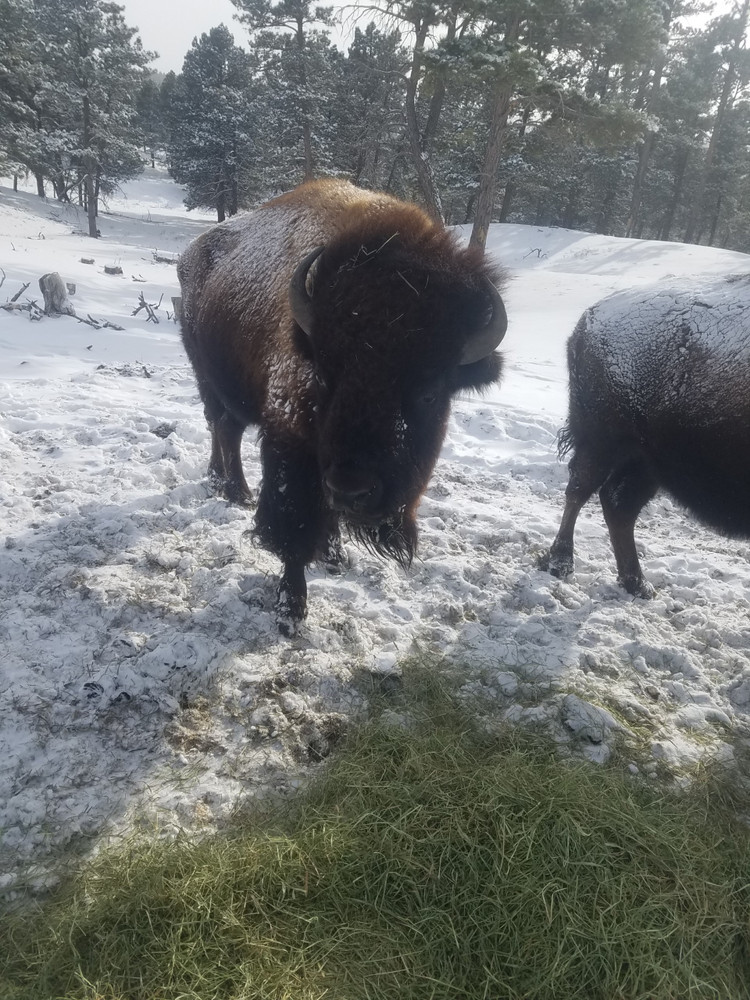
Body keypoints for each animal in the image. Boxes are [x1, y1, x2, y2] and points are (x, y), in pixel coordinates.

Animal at [181, 181, 512, 632]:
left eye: (429, 393)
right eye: (323, 376)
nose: (352, 489)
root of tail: (192, 251)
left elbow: (326, 513)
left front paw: (335, 555)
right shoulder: (291, 445)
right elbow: (294, 529)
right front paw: (291, 609)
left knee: (227, 428)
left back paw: (237, 491)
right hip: (206, 376)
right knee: (220, 427)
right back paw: (230, 489)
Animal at [544, 272, 750, 592]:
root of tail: (590, 317)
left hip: (645, 460)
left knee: (616, 502)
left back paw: (637, 584)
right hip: (603, 440)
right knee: (580, 490)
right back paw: (561, 564)